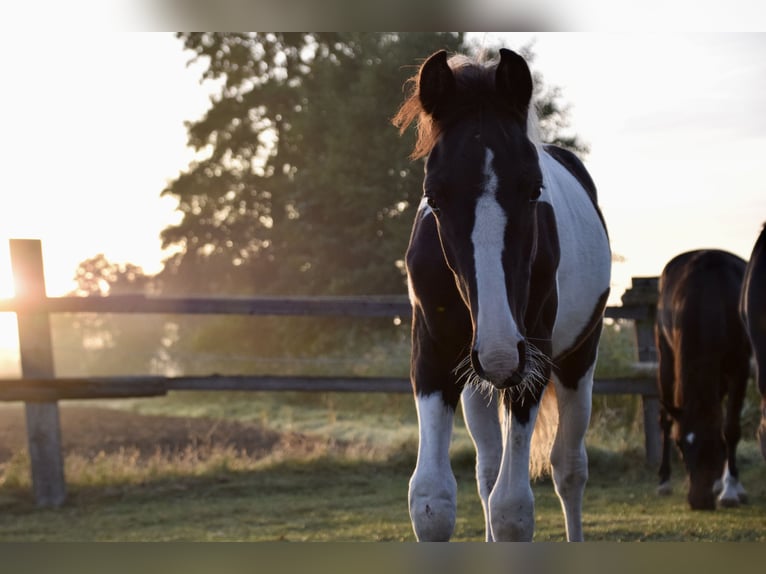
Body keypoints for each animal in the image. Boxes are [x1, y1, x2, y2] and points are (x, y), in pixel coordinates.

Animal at [396, 50, 612, 544]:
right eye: (434, 196)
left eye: (534, 190)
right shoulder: (433, 355)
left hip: (576, 361)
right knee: (487, 470)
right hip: (476, 379)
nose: (498, 353)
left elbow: (512, 510)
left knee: (568, 469)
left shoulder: (531, 358)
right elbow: (432, 501)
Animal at [656, 250, 752, 510]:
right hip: (665, 359)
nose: (699, 501)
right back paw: (664, 480)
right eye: (680, 444)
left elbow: (731, 428)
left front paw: (730, 490)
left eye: (716, 444)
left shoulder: (740, 369)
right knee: (665, 419)